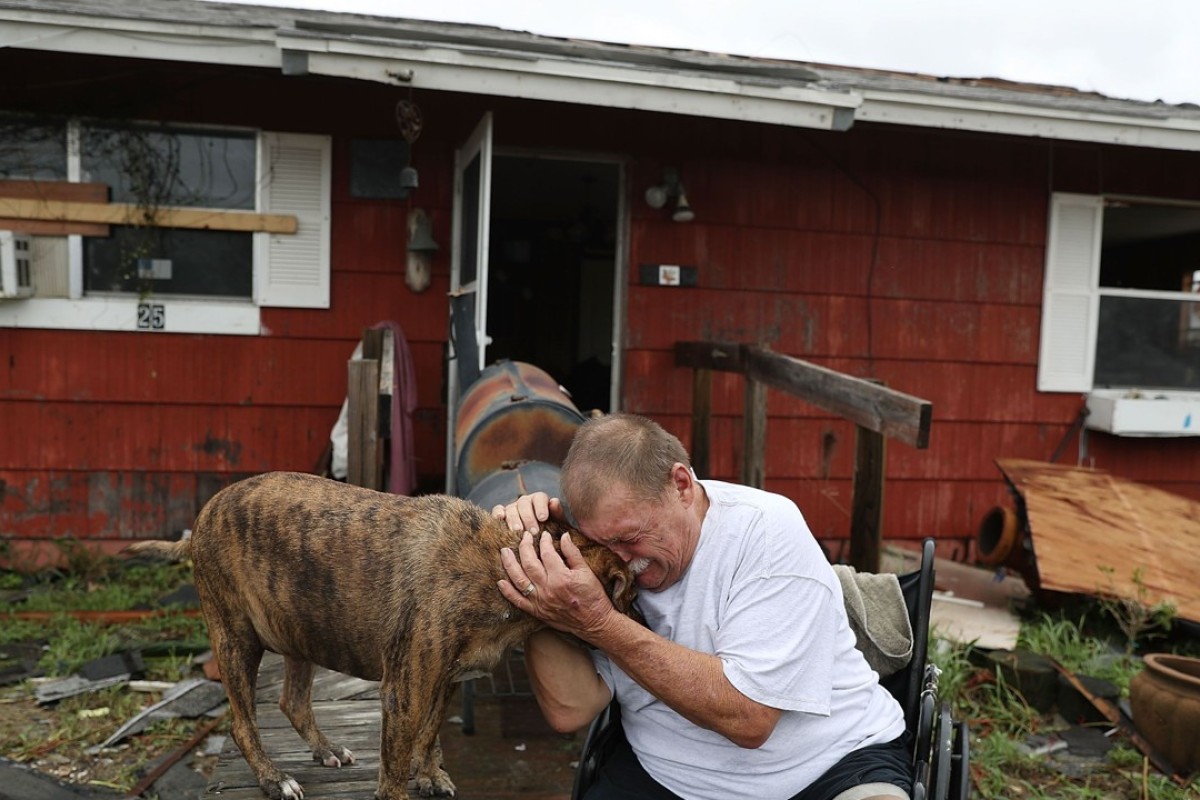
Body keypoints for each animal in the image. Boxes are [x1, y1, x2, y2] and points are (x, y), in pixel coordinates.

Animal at [126, 472, 638, 796]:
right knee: (241, 722)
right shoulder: (404, 692)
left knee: (292, 702)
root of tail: (200, 520)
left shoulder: (446, 681)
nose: (640, 621)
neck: (504, 559)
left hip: (299, 627)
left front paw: (429, 775)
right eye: (630, 594)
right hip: (236, 639)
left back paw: (326, 750)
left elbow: (429, 734)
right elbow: (395, 763)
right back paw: (273, 779)